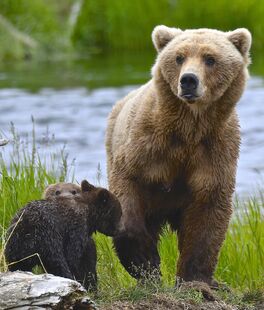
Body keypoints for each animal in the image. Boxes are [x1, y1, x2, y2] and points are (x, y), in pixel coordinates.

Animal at [105, 25, 252, 286]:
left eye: (210, 58)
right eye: (179, 57)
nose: (188, 80)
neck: (189, 129)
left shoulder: (214, 151)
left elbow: (207, 212)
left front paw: (194, 278)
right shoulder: (145, 147)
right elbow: (127, 191)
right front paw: (144, 262)